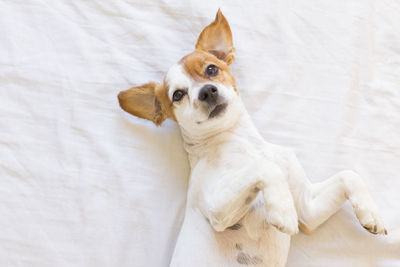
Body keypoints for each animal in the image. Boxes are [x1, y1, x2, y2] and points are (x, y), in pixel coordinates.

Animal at [119, 9, 388, 267]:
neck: (243, 141)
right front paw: (282, 209)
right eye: (177, 95)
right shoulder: (217, 211)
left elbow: (349, 175)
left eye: (211, 69)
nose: (207, 91)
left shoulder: (308, 211)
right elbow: (264, 168)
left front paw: (371, 213)